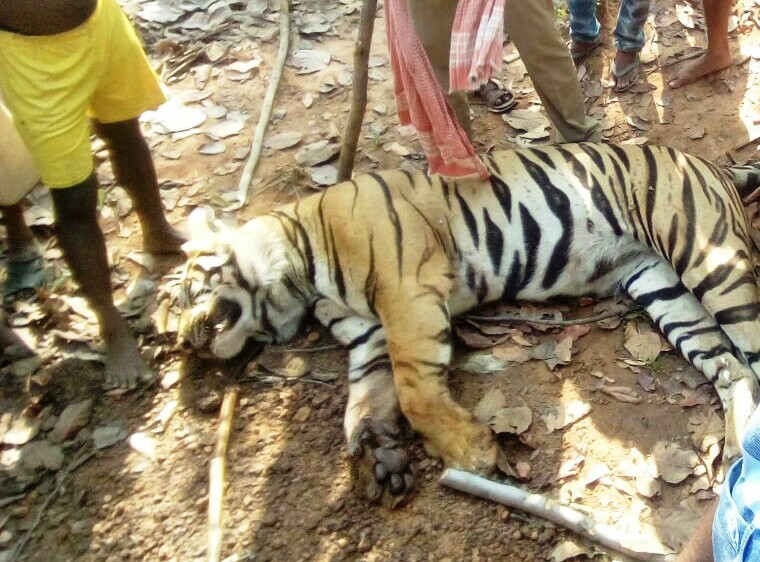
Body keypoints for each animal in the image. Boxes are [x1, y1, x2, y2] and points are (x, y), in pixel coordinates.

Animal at [178, 142, 760, 508]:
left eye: (182, 291)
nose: (185, 342)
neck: (297, 273)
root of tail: (711, 165)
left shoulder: (408, 292)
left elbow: (414, 390)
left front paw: (472, 454)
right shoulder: (367, 333)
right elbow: (366, 400)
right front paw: (382, 462)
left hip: (708, 261)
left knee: (749, 350)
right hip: (662, 288)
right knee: (733, 370)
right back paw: (737, 452)